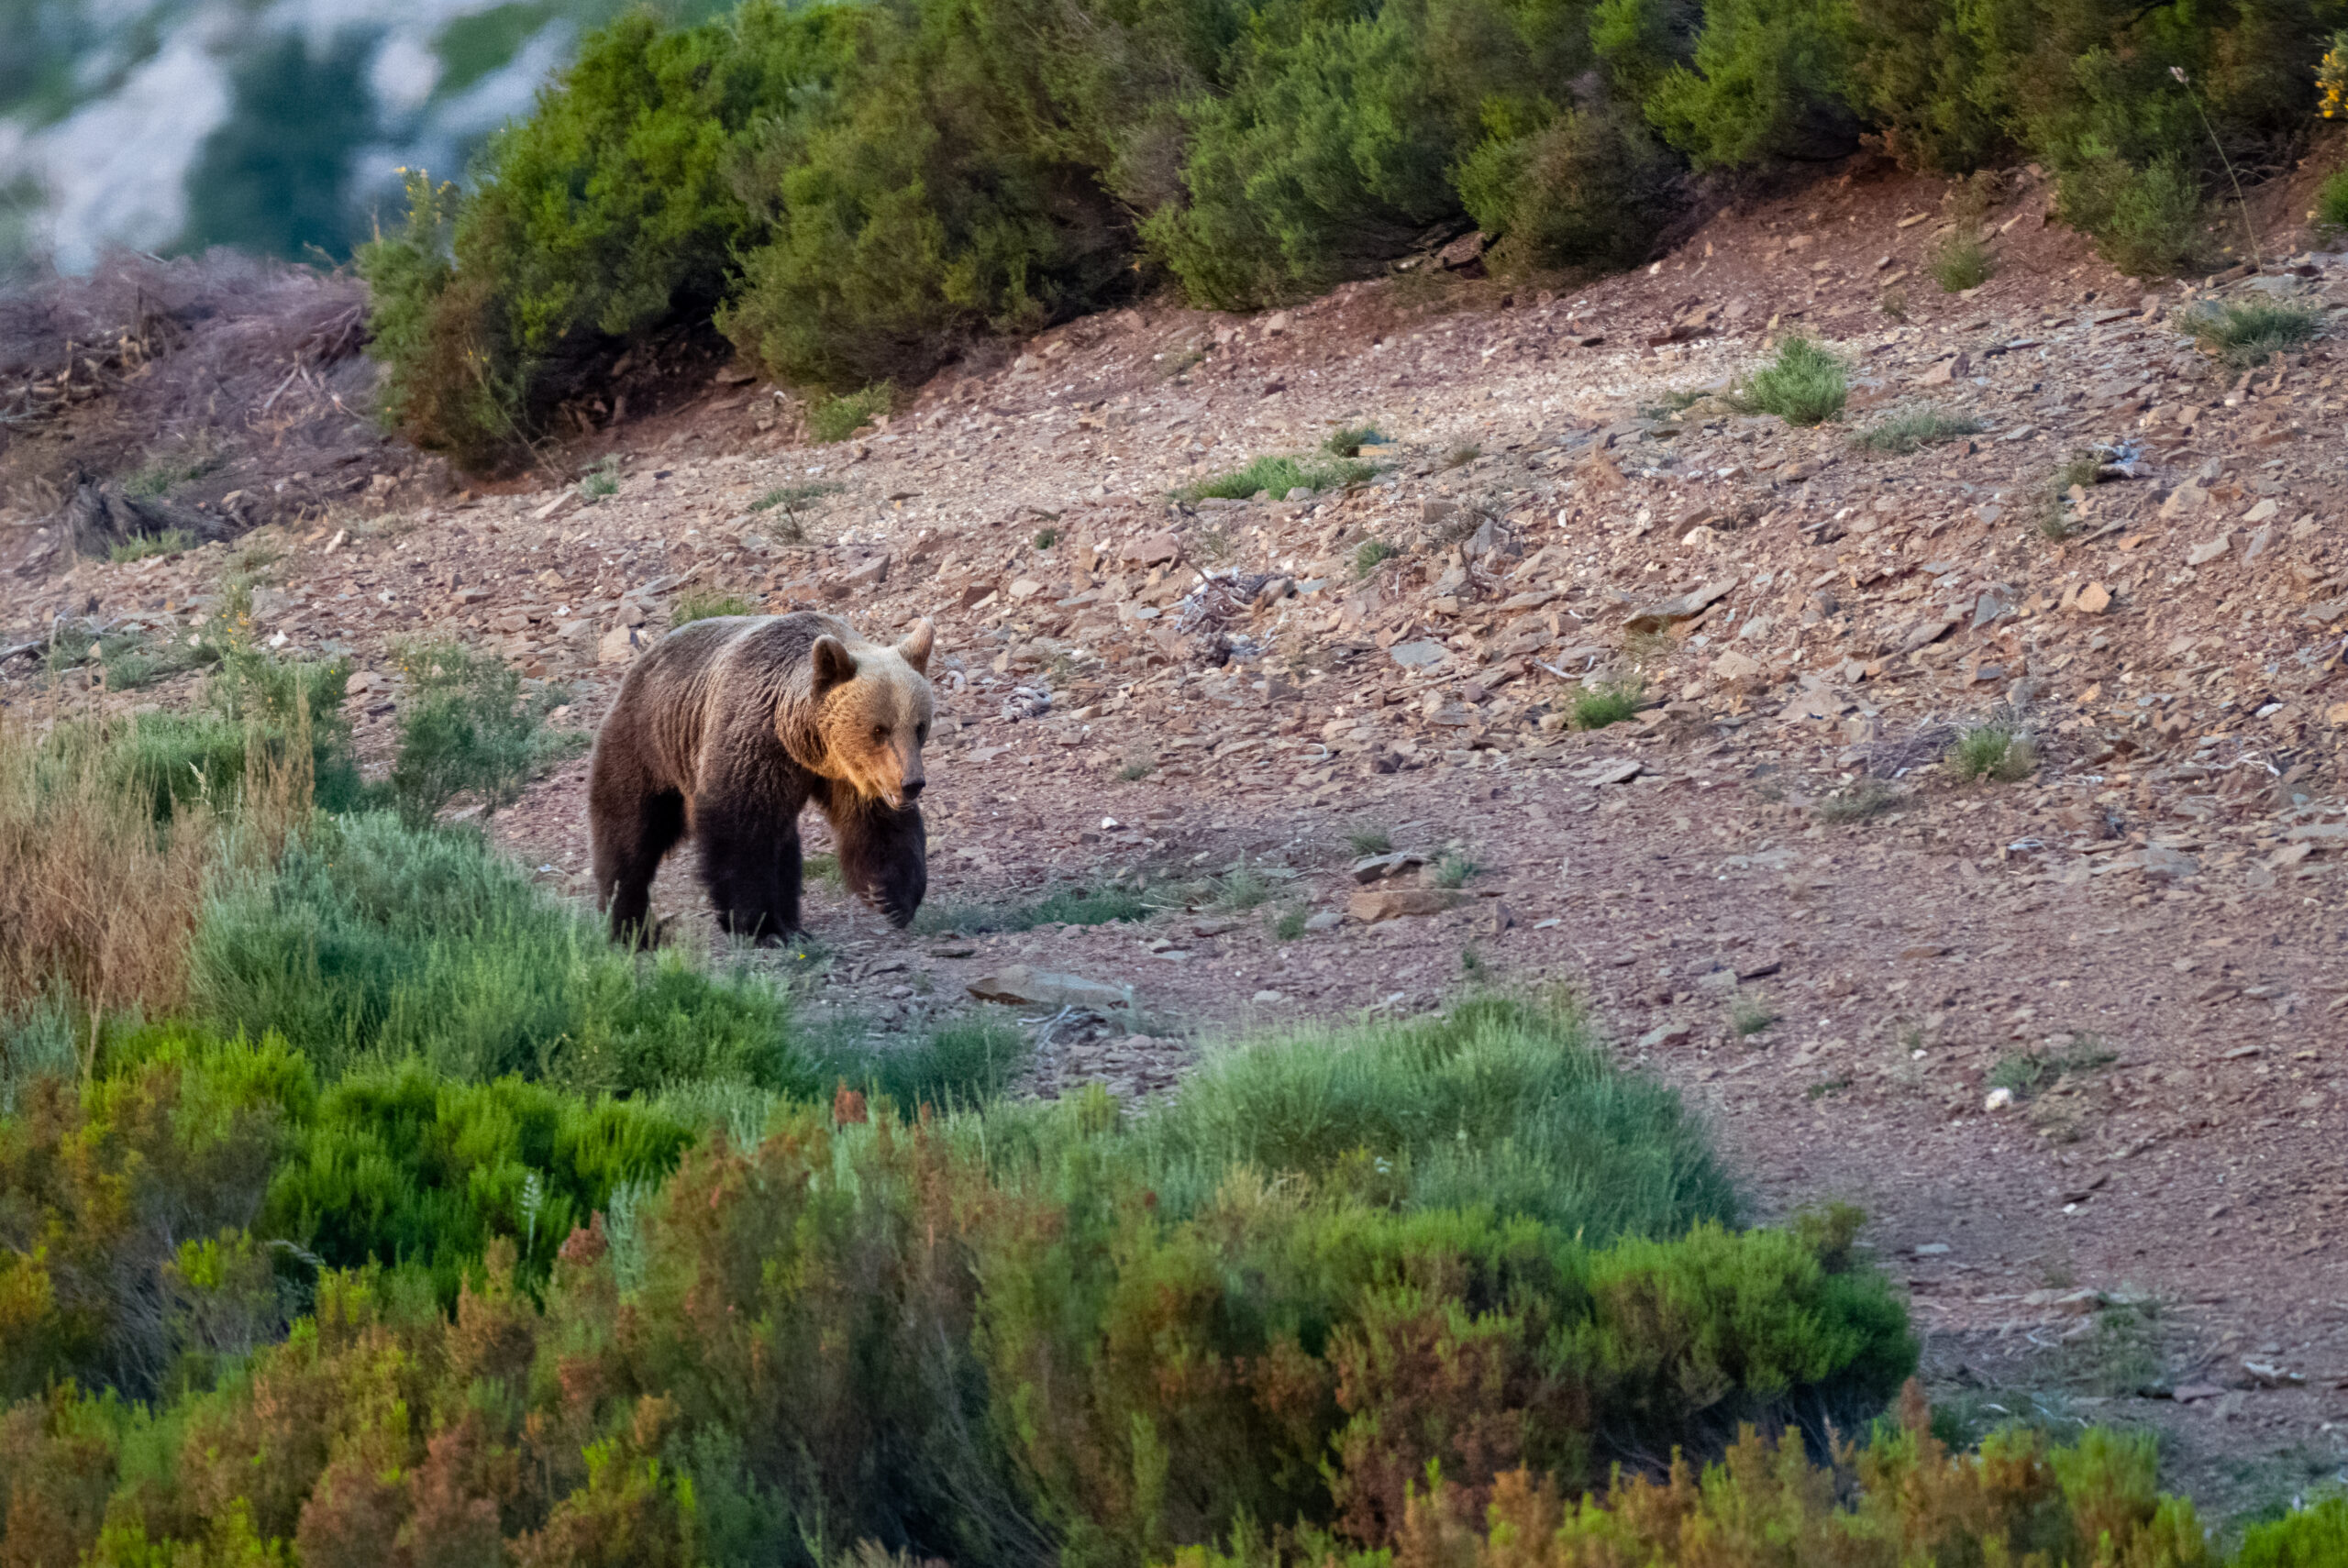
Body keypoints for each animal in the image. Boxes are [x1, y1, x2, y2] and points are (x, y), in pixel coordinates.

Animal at [587, 611, 936, 943]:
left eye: (919, 726)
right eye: (879, 730)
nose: (912, 783)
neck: (803, 743)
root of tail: (639, 664)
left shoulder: (853, 774)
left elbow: (876, 824)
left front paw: (893, 897)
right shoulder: (753, 747)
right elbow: (741, 832)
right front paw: (761, 926)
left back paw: (794, 924)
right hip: (650, 747)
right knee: (629, 835)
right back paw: (630, 928)